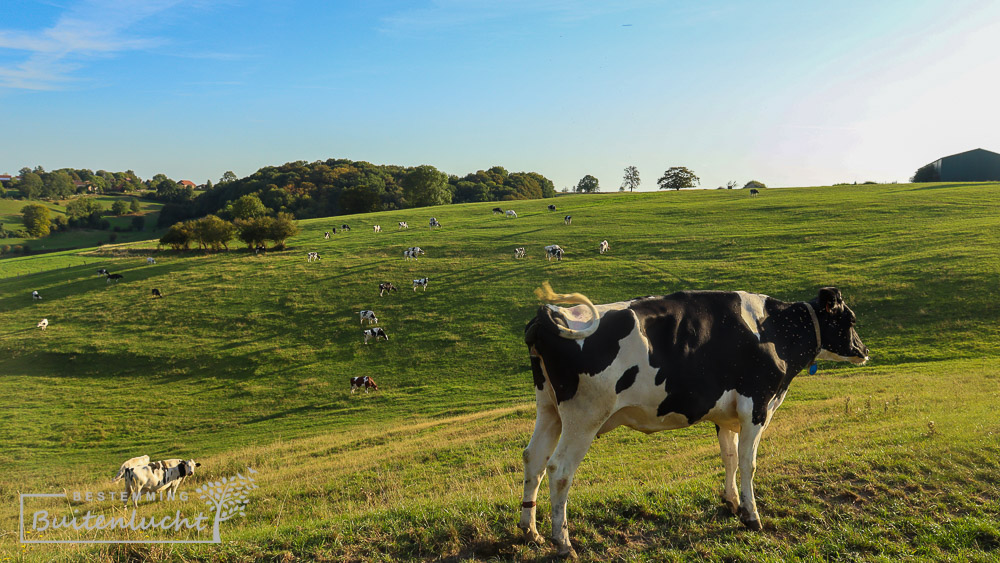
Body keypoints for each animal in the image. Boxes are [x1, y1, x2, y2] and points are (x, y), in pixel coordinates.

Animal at [520, 284, 872, 556]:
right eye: (851, 319)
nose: (865, 351)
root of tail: (549, 314)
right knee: (559, 470)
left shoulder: (726, 414)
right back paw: (563, 543)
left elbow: (729, 458)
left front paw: (732, 503)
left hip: (548, 409)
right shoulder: (756, 406)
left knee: (533, 458)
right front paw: (752, 517)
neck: (775, 331)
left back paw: (530, 531)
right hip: (584, 417)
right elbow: (748, 463)